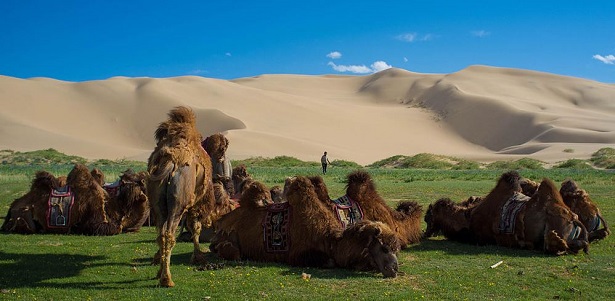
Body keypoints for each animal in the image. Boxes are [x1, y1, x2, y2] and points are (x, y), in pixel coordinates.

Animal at [147, 105, 217, 286]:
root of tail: (170, 161)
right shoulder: (197, 204)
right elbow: (195, 227)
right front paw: (198, 256)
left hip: (157, 203)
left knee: (161, 234)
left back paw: (160, 273)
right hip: (178, 203)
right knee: (169, 234)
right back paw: (167, 279)